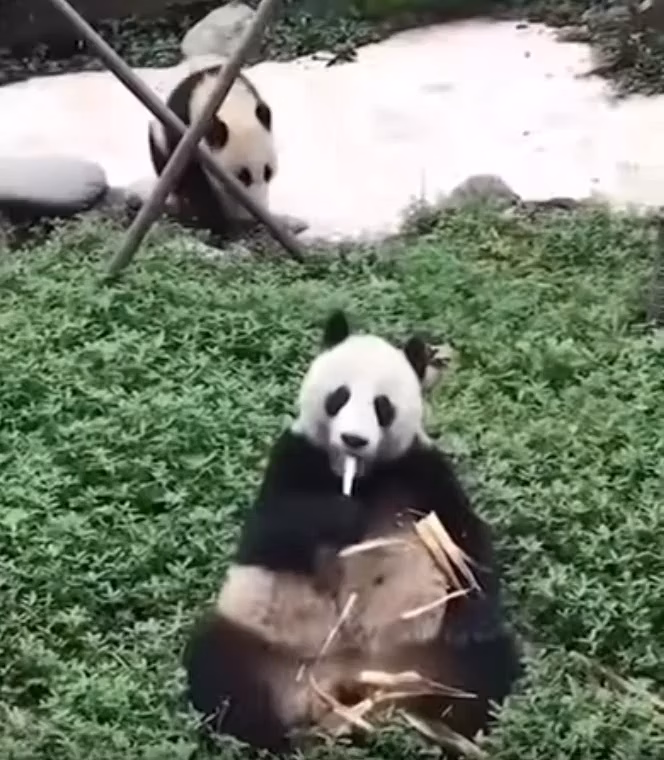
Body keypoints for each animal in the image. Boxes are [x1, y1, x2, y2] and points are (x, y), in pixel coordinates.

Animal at [148, 57, 277, 235]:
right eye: (243, 175)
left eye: (267, 172)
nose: (255, 217)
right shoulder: (184, 133)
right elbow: (195, 181)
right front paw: (217, 225)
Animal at [183, 310, 522, 754]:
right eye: (339, 396)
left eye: (382, 406)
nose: (353, 439)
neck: (359, 474)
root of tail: (346, 688)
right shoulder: (293, 457)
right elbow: (268, 533)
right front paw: (341, 515)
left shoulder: (420, 469)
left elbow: (462, 533)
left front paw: (472, 611)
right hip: (267, 641)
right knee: (220, 670)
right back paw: (273, 739)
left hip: (427, 650)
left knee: (484, 668)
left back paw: (439, 728)